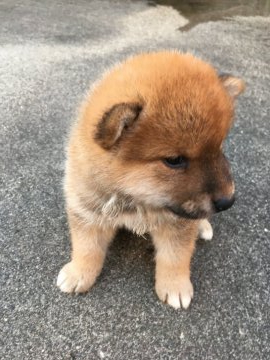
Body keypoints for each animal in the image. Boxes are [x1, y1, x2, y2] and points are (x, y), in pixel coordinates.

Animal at [57, 50, 245, 310]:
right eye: (174, 160)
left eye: (219, 148)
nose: (229, 201)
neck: (135, 200)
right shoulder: (88, 211)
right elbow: (86, 249)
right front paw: (78, 273)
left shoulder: (178, 222)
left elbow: (175, 257)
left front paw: (175, 286)